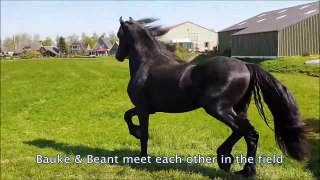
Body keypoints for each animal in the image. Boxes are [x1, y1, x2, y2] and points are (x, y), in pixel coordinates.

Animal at [114, 17, 308, 177]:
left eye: (119, 34)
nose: (118, 56)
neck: (146, 63)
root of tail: (246, 65)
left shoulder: (143, 108)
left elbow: (143, 131)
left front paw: (142, 155)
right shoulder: (147, 108)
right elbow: (127, 115)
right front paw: (135, 133)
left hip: (217, 108)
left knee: (248, 132)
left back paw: (242, 168)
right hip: (237, 108)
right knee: (244, 131)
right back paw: (230, 163)